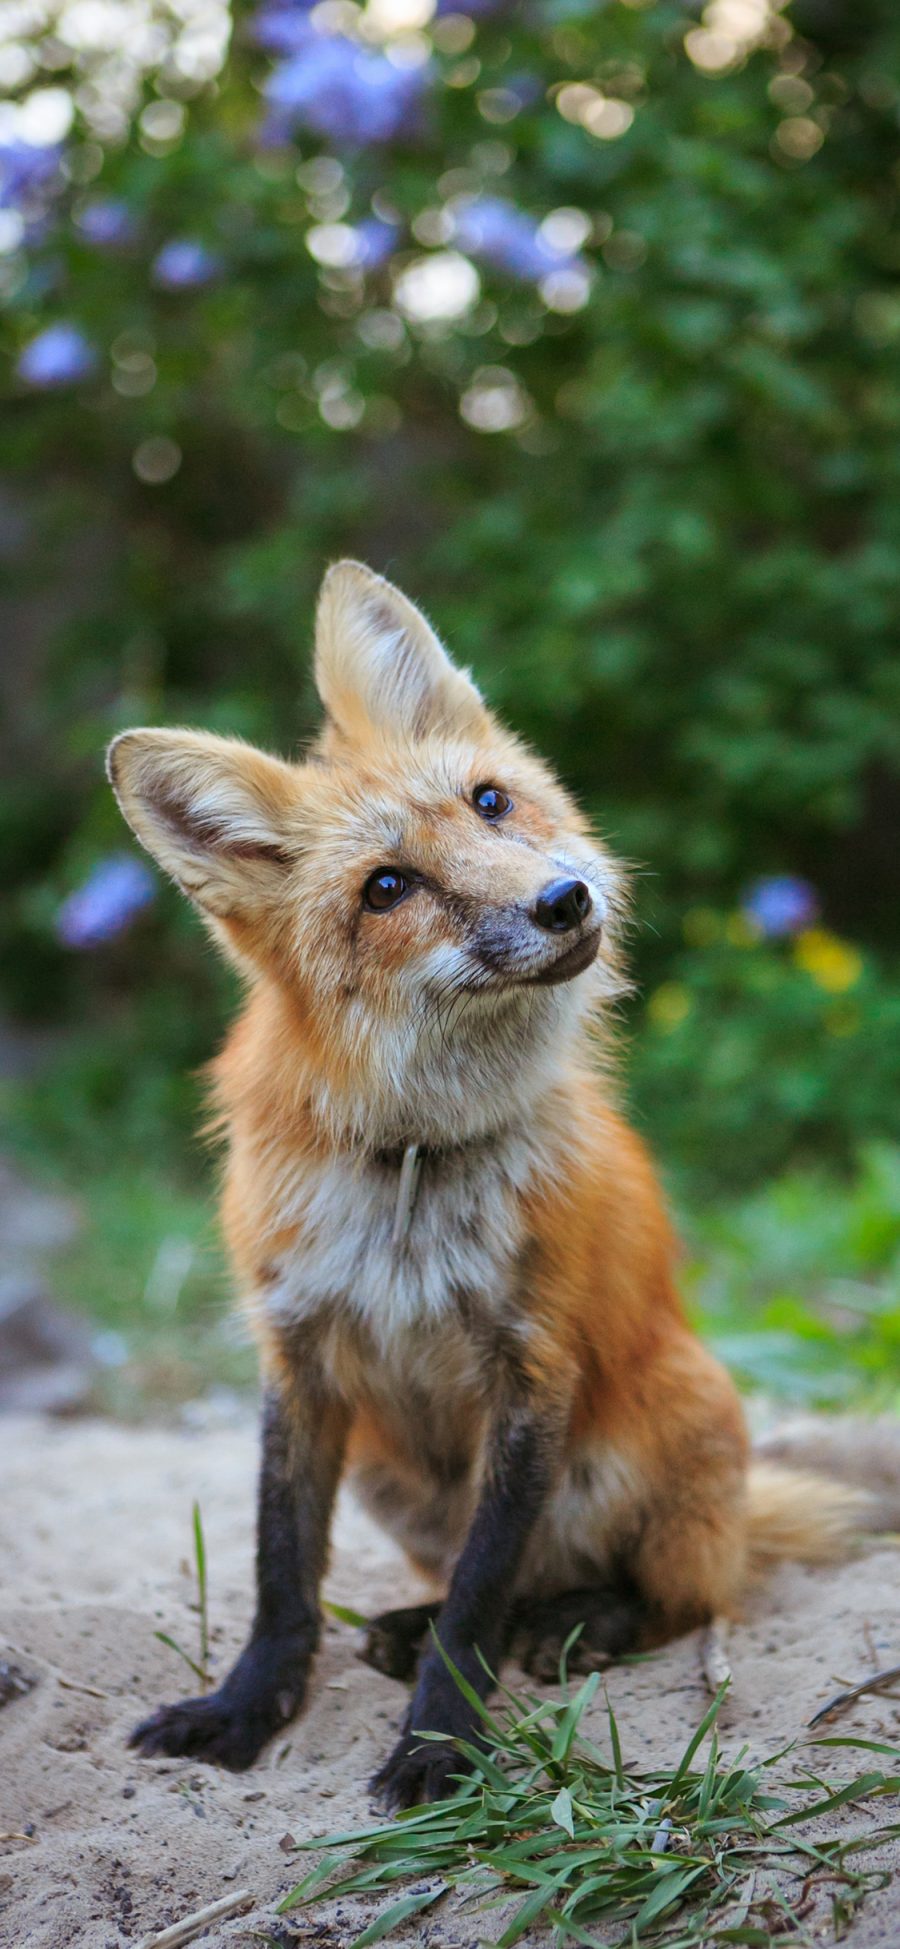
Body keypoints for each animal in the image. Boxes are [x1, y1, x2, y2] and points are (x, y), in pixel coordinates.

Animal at [109, 557, 880, 1800]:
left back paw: (579, 1622)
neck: (413, 1165)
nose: (564, 900)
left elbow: (480, 1594)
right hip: (393, 1473)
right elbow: (282, 1573)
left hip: (649, 1438)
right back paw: (413, 1625)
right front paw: (247, 1705)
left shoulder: (534, 1365)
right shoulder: (298, 1355)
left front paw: (439, 1742)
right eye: (386, 887)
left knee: (680, 1596)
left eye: (489, 802)